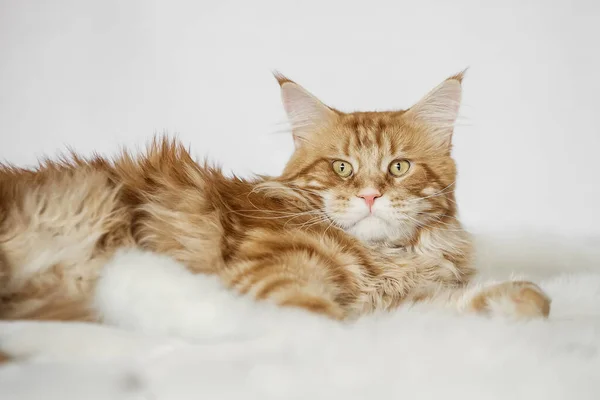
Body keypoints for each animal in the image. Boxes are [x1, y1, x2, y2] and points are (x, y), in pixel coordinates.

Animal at [0, 72, 552, 328]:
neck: (388, 259)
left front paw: (521, 299)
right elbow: (336, 323)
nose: (371, 194)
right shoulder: (270, 275)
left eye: (398, 167)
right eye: (341, 167)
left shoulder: (399, 301)